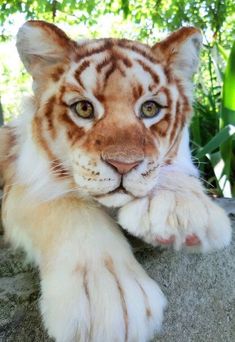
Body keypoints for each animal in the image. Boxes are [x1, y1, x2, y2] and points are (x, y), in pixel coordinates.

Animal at [0, 20, 231, 342]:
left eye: (150, 108)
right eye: (84, 108)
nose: (124, 164)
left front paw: (182, 213)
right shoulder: (23, 183)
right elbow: (69, 205)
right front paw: (107, 297)